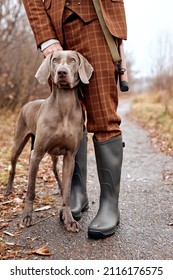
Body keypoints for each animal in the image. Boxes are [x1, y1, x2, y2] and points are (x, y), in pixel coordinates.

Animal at [5, 49, 93, 232]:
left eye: (72, 60)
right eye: (55, 60)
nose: (62, 72)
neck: (64, 106)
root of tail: (27, 104)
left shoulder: (69, 156)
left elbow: (67, 191)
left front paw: (69, 219)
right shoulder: (36, 154)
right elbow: (31, 191)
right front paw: (27, 216)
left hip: (54, 154)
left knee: (54, 169)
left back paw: (59, 186)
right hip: (19, 142)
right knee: (13, 166)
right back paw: (8, 190)